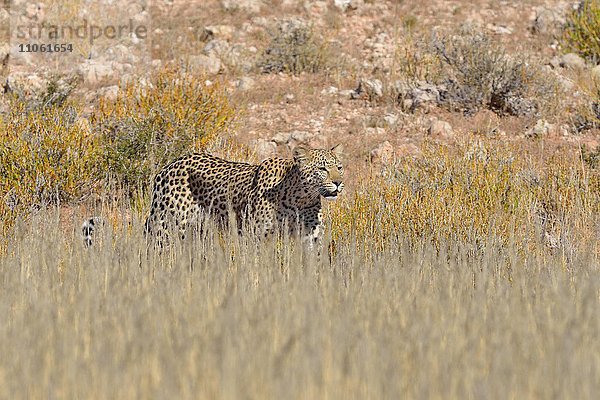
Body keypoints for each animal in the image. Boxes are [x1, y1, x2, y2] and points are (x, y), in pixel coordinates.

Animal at [142, 146, 344, 247]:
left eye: (339, 167)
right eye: (322, 169)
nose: (338, 183)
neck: (300, 198)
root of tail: (170, 165)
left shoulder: (311, 235)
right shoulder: (258, 234)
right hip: (167, 226)